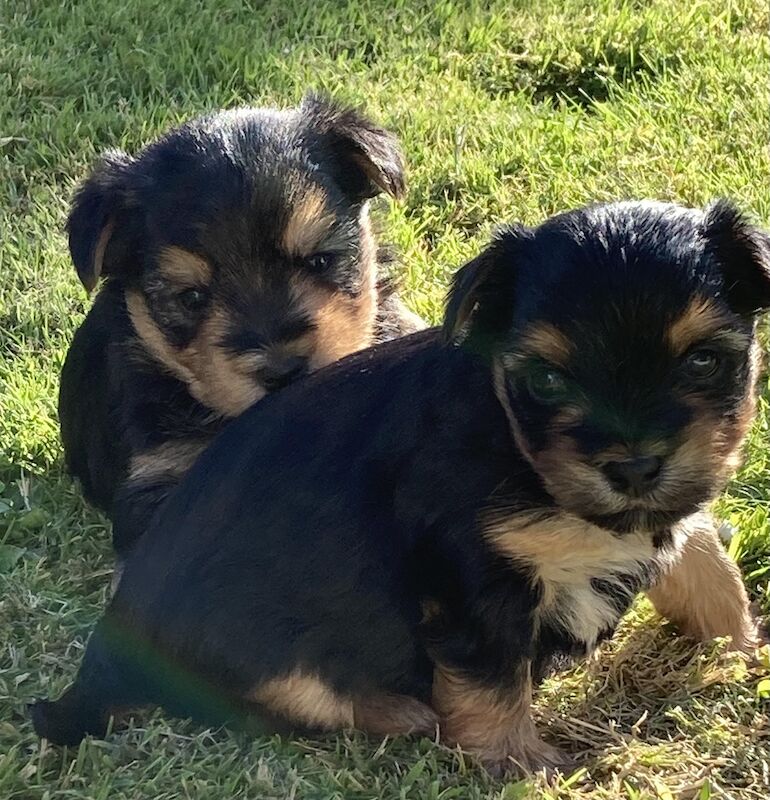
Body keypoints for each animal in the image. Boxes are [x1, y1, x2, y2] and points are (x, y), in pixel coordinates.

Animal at [37, 200, 768, 776]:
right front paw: (518, 762)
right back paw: (398, 711)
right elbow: (490, 679)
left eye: (703, 361)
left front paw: (743, 651)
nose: (636, 467)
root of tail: (108, 649)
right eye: (548, 380)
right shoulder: (472, 578)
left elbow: (703, 560)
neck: (516, 446)